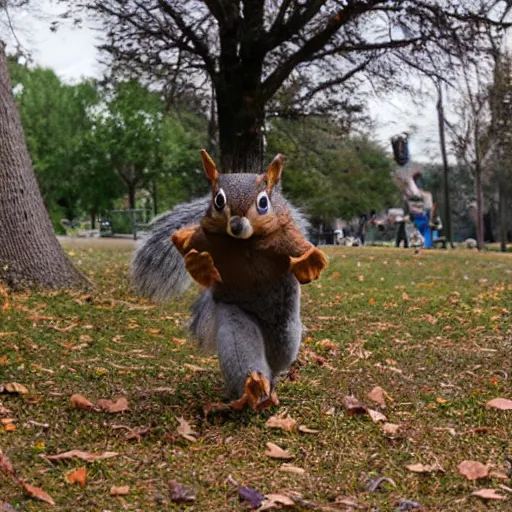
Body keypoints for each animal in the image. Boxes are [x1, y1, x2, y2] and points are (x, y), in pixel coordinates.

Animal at [132, 150, 328, 410]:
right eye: (218, 200)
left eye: (263, 203)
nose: (235, 225)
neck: (245, 243)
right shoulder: (205, 239)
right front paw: (199, 264)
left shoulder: (284, 234)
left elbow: (298, 247)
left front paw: (310, 262)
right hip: (234, 316)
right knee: (241, 348)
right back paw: (253, 387)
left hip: (284, 330)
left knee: (280, 351)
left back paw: (271, 383)